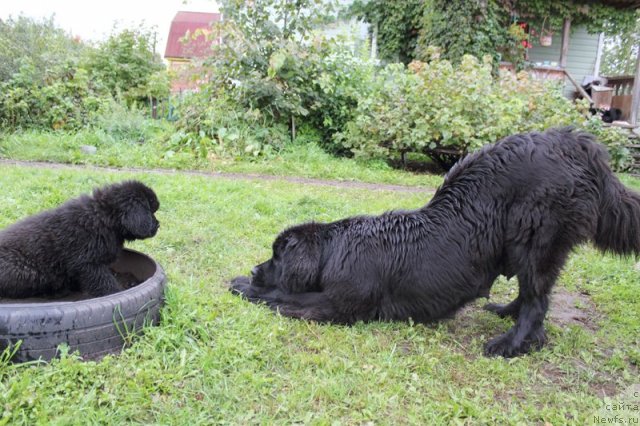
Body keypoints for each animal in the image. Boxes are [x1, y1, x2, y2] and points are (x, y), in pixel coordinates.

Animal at [0, 181, 159, 298]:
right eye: (150, 211)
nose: (158, 225)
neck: (104, 218)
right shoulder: (88, 264)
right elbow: (104, 281)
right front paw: (115, 293)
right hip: (27, 271)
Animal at [230, 128, 640, 358]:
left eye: (276, 255)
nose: (253, 268)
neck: (334, 250)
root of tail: (581, 146)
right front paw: (243, 280)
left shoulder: (339, 305)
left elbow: (283, 297)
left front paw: (245, 286)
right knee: (530, 294)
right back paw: (505, 313)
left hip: (535, 236)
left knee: (537, 301)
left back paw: (511, 345)